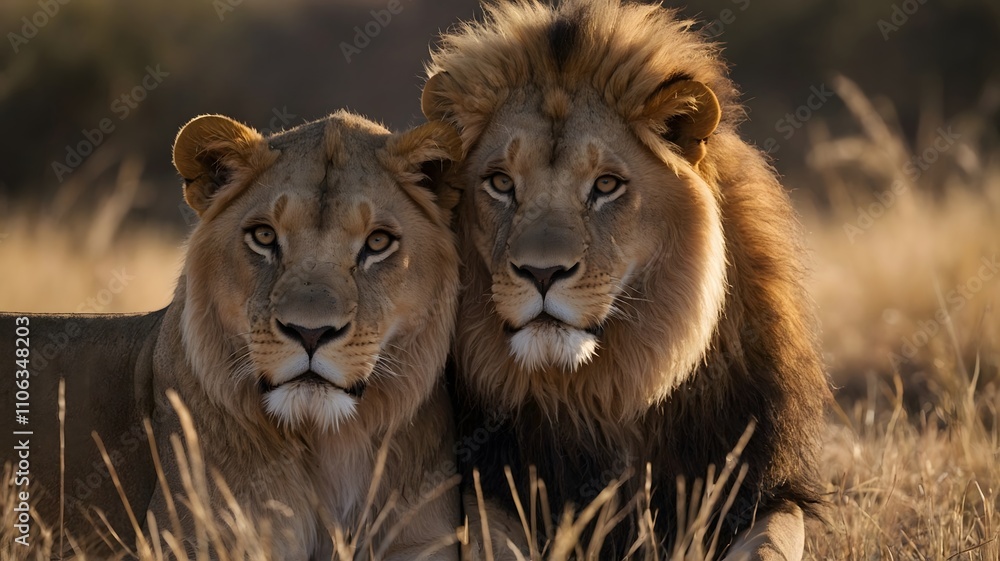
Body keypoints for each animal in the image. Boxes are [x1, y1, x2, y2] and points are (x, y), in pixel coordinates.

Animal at [1, 111, 464, 559]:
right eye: (264, 236)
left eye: (378, 242)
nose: (309, 332)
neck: (326, 448)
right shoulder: (197, 538)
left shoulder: (420, 542)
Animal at [420, 1, 830, 559]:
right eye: (501, 183)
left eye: (606, 185)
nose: (542, 272)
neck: (610, 391)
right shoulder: (490, 486)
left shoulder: (767, 488)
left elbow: (769, 544)